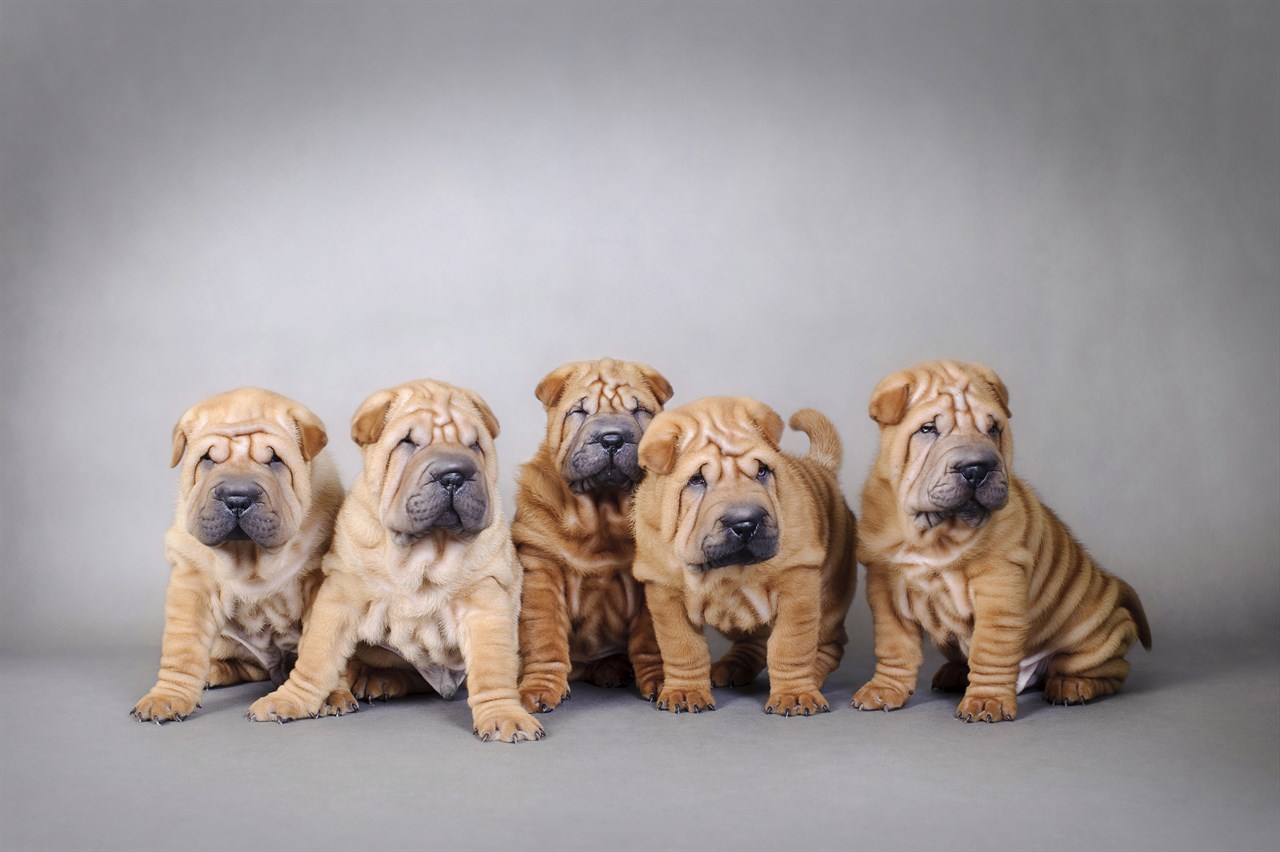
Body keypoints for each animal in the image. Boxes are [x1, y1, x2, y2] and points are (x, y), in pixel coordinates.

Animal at [247, 378, 542, 741]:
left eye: (474, 445)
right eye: (408, 443)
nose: (454, 474)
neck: (425, 552)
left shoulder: (485, 603)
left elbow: (493, 669)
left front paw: (504, 714)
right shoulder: (339, 597)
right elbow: (316, 656)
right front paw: (289, 699)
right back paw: (370, 682)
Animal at [512, 355, 675, 711]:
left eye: (639, 410)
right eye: (580, 411)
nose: (612, 438)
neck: (601, 513)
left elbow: (651, 638)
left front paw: (661, 681)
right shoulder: (541, 567)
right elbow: (544, 636)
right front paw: (539, 690)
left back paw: (612, 669)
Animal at [632, 394, 860, 711]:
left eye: (761, 470)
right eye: (697, 480)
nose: (745, 523)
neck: (726, 571)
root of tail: (820, 467)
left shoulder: (798, 582)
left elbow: (791, 643)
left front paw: (794, 695)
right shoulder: (664, 591)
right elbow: (682, 646)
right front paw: (686, 692)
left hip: (831, 595)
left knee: (827, 643)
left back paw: (812, 677)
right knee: (755, 638)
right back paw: (732, 668)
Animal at [855, 355, 1157, 721]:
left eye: (993, 429)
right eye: (928, 430)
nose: (976, 468)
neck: (936, 535)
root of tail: (1112, 585)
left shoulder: (998, 586)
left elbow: (991, 649)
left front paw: (986, 701)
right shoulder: (886, 587)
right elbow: (894, 646)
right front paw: (883, 690)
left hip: (1095, 635)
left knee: (1110, 669)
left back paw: (1072, 686)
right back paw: (954, 674)